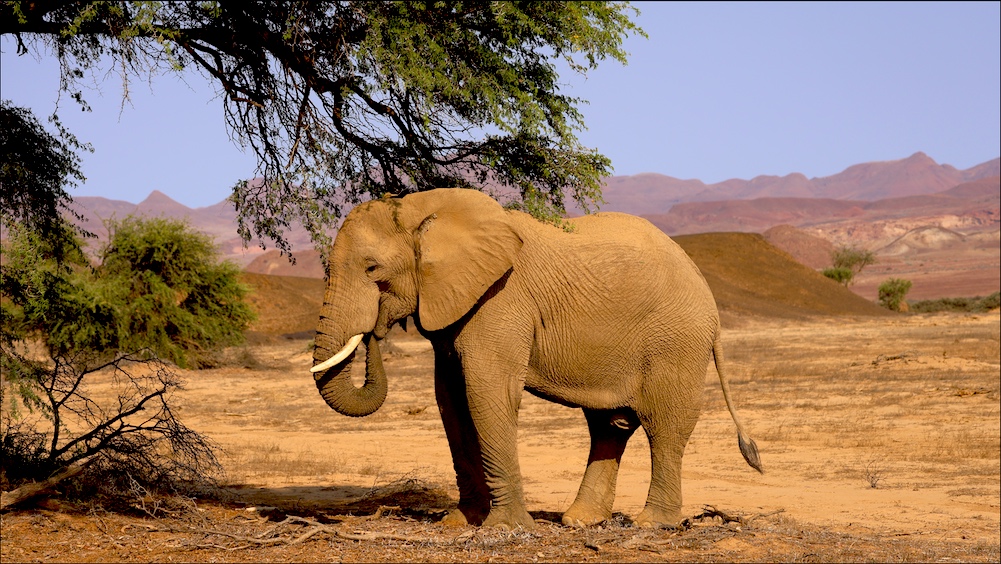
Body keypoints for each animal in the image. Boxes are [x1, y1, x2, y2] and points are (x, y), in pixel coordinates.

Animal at [310, 188, 762, 530]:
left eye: (372, 269)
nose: (375, 330)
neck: (422, 206)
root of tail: (703, 285)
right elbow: (451, 400)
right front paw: (459, 522)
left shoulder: (502, 298)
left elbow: (488, 391)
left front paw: (505, 528)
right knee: (609, 425)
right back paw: (579, 521)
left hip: (676, 341)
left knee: (664, 425)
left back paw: (652, 524)